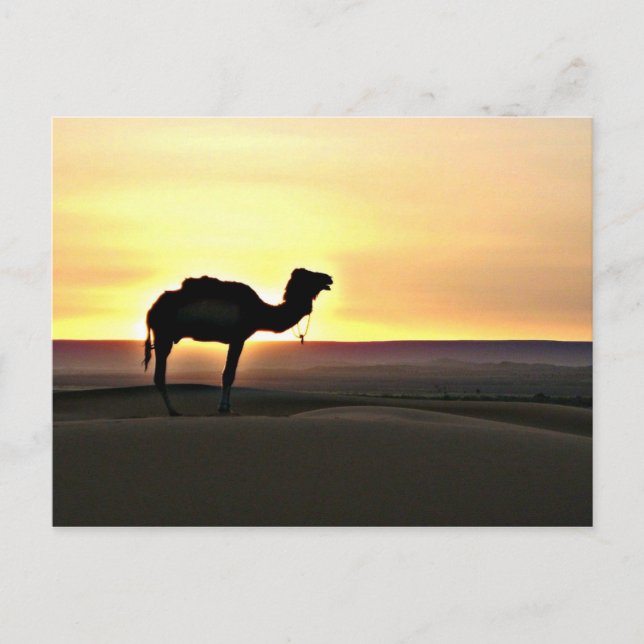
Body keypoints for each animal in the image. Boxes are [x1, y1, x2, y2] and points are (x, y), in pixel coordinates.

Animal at [143, 268, 333, 415]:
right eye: (310, 276)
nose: (328, 277)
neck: (259, 311)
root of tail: (151, 311)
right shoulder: (238, 338)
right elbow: (229, 374)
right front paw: (225, 408)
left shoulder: (234, 340)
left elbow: (228, 373)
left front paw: (225, 407)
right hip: (164, 336)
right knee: (159, 375)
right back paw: (173, 411)